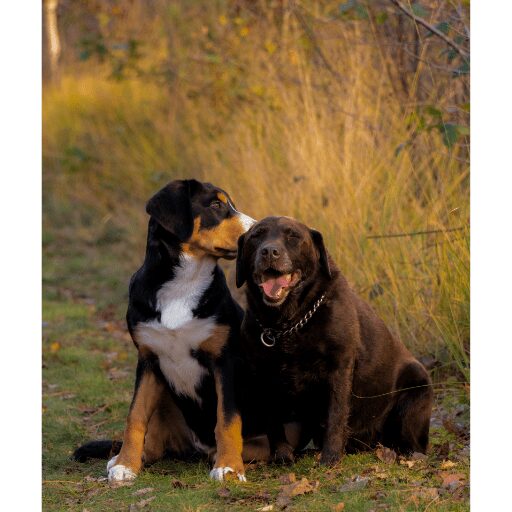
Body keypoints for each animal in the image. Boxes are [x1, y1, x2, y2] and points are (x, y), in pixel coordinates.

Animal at [74, 180, 254, 480]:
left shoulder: (224, 361)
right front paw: (126, 464)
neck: (184, 283)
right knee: (155, 440)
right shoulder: (148, 359)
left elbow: (227, 418)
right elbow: (135, 416)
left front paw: (228, 466)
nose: (258, 229)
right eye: (216, 205)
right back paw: (126, 458)